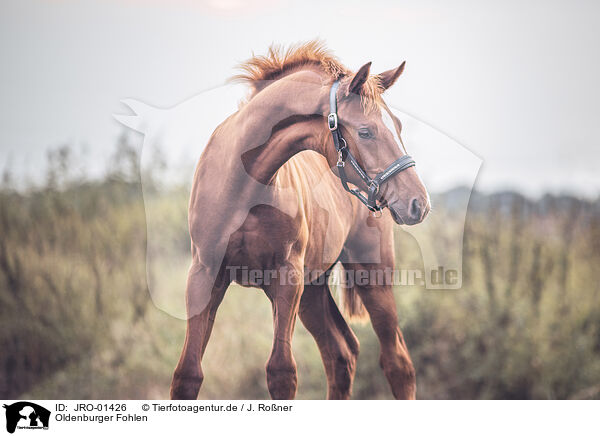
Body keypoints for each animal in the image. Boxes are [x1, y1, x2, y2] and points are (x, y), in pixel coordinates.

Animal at [171, 42, 428, 400]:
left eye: (399, 126)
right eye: (365, 132)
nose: (418, 203)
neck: (245, 184)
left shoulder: (286, 279)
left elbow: (282, 373)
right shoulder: (204, 275)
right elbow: (187, 374)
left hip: (371, 275)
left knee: (397, 362)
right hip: (313, 290)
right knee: (341, 353)